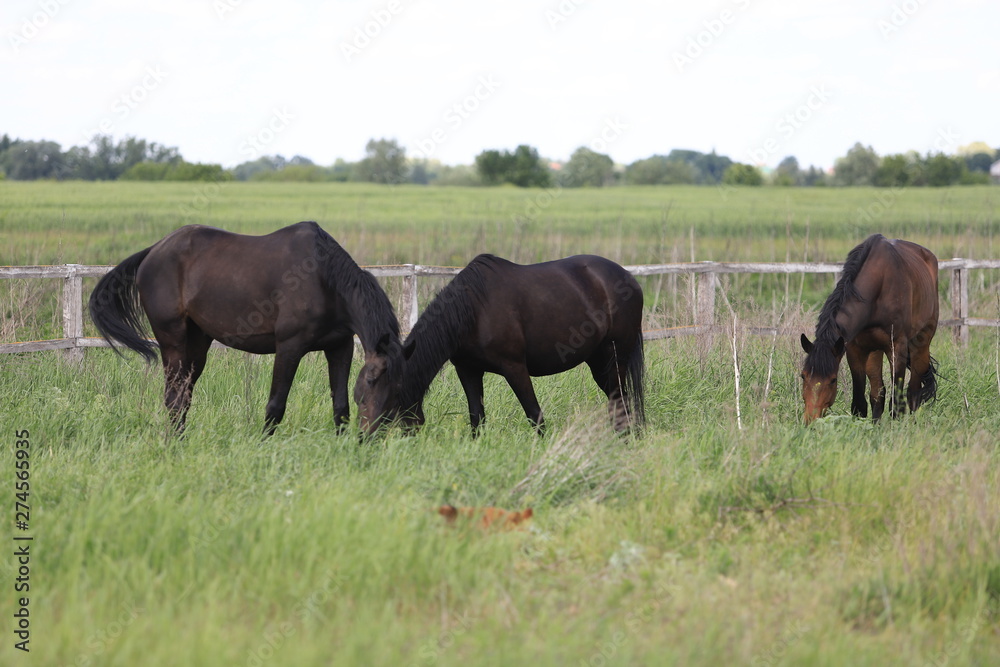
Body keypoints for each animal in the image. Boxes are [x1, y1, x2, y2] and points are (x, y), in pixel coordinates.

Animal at [86, 222, 398, 436]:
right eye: (373, 382)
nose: (374, 435)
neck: (324, 280)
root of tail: (153, 250)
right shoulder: (290, 347)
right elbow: (275, 406)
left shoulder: (339, 347)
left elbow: (340, 406)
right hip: (171, 339)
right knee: (173, 397)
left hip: (197, 343)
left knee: (184, 394)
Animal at [356, 253, 644, 436]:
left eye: (382, 391)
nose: (362, 438)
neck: (473, 311)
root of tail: (630, 278)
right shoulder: (468, 370)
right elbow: (476, 417)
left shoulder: (515, 368)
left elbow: (534, 415)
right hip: (598, 361)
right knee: (618, 401)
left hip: (615, 356)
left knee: (621, 401)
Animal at [796, 235, 936, 422]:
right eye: (803, 375)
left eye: (833, 380)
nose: (811, 420)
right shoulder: (855, 349)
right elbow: (860, 402)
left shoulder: (897, 348)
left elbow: (896, 403)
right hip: (874, 351)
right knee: (878, 393)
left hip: (920, 345)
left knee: (913, 393)